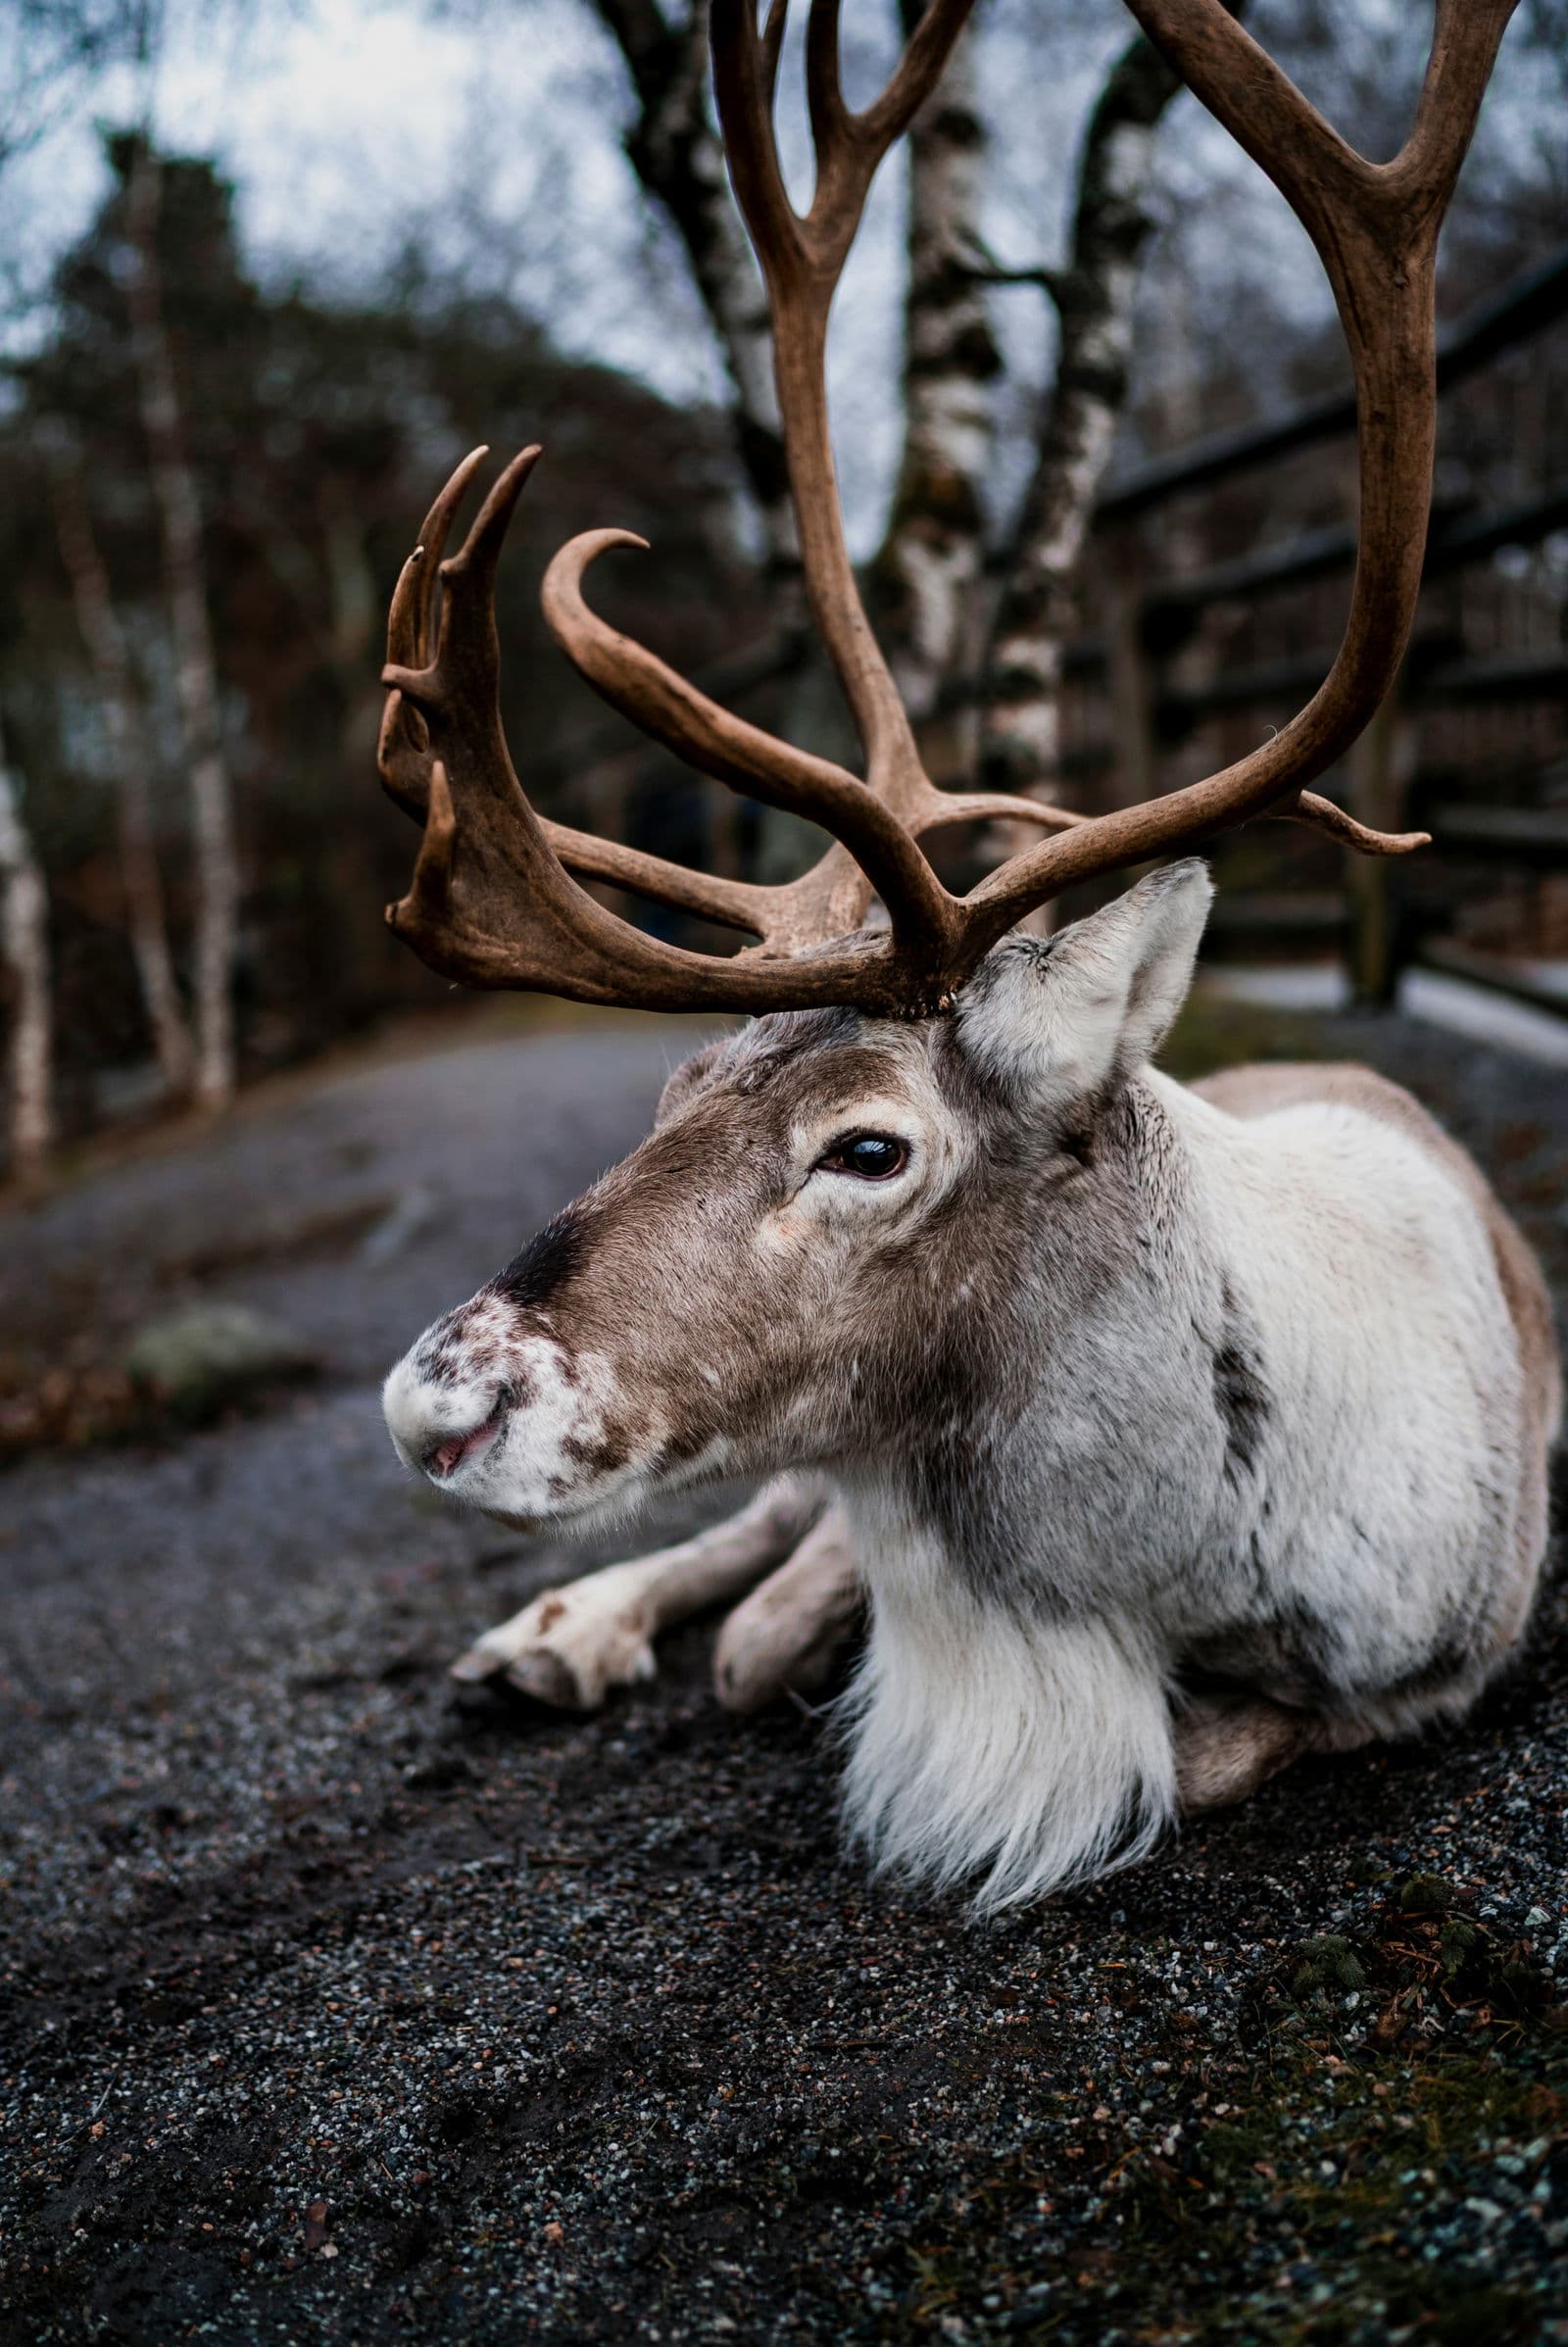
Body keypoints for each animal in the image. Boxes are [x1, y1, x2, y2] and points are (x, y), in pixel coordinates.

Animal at [376, 0, 1558, 1909]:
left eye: (868, 1147)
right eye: (672, 1085)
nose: (438, 1402)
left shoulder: (1437, 1658)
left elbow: (1196, 1755)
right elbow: (781, 1621)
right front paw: (743, 1626)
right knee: (752, 1528)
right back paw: (561, 1630)